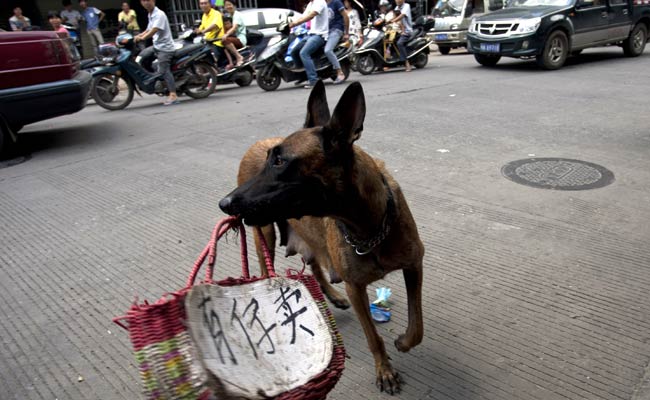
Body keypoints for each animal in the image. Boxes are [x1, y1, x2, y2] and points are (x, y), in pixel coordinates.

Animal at [219, 81, 426, 394]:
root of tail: (257, 143)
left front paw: (403, 342)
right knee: (269, 268)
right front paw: (385, 370)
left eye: (280, 161)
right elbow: (373, 337)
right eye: (271, 160)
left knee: (315, 263)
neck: (370, 227)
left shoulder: (414, 266)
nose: (225, 204)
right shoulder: (356, 288)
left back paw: (332, 295)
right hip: (264, 235)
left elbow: (418, 326)